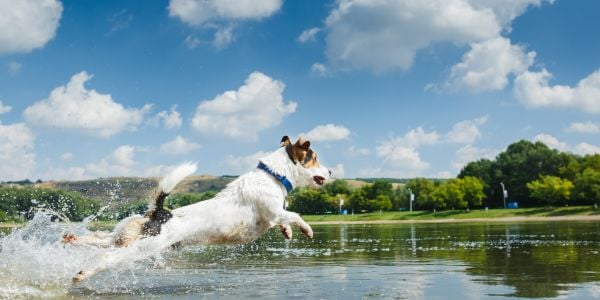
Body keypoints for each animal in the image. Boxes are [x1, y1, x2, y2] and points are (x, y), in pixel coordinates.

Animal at [70, 136, 332, 282]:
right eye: (315, 158)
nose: (331, 171)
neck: (273, 175)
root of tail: (162, 213)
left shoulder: (274, 216)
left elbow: (285, 221)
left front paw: (287, 232)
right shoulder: (274, 212)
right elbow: (295, 215)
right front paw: (306, 229)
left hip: (129, 234)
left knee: (102, 238)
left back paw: (72, 238)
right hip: (146, 245)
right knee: (108, 257)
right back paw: (84, 273)